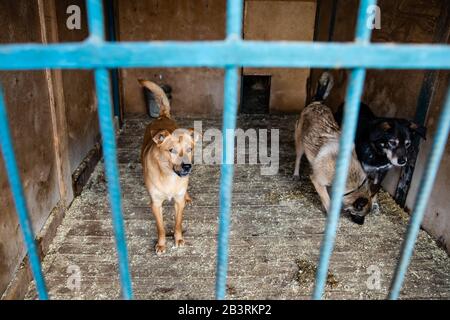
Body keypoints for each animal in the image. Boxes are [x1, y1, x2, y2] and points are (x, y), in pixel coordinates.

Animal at [139, 80, 199, 255]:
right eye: (171, 150)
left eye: (189, 149)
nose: (187, 166)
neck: (169, 176)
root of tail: (162, 116)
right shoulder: (156, 204)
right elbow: (160, 228)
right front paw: (161, 244)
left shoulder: (178, 202)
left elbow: (178, 223)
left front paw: (178, 239)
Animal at [294, 71, 370, 224]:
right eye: (360, 214)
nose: (361, 223)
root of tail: (317, 102)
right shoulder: (317, 181)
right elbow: (327, 201)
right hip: (300, 145)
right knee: (298, 159)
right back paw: (296, 174)